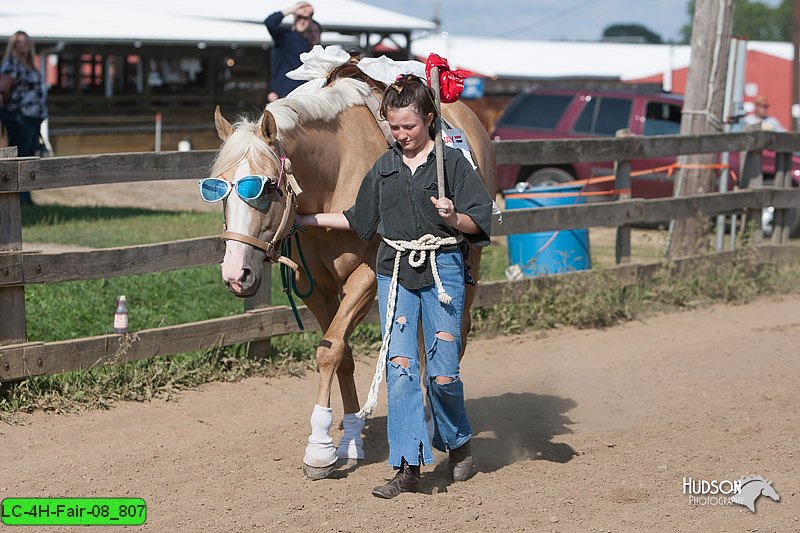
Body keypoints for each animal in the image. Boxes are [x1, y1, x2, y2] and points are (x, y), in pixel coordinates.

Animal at [211, 74, 500, 478]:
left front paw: (318, 450)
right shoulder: (313, 289)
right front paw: (348, 439)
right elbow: (339, 351)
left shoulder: (365, 279)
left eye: (266, 186)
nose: (237, 273)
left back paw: (435, 424)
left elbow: (329, 353)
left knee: (453, 337)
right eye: (216, 186)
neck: (334, 175)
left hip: (467, 266)